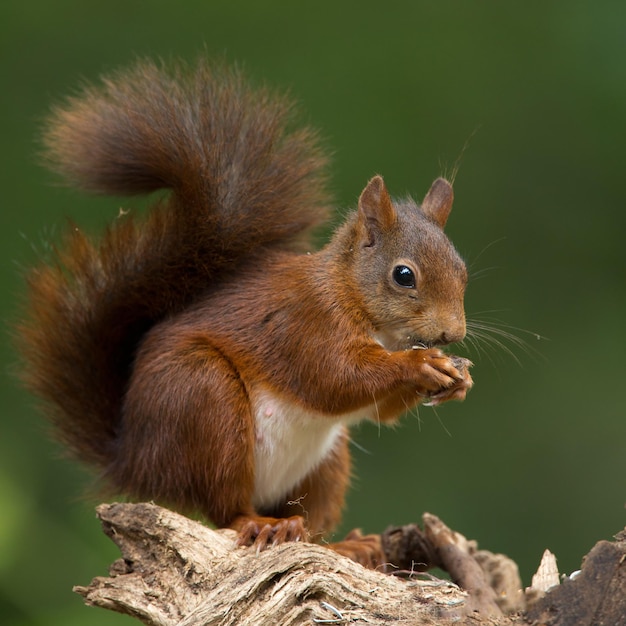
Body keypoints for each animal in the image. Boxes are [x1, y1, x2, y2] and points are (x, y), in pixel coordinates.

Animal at [17, 57, 470, 564]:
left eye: (462, 268)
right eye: (403, 275)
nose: (453, 334)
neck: (355, 299)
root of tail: (134, 460)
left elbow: (378, 410)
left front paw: (458, 377)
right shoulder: (305, 324)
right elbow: (336, 378)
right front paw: (419, 363)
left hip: (326, 463)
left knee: (308, 520)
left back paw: (342, 543)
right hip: (205, 403)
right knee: (223, 507)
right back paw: (261, 525)